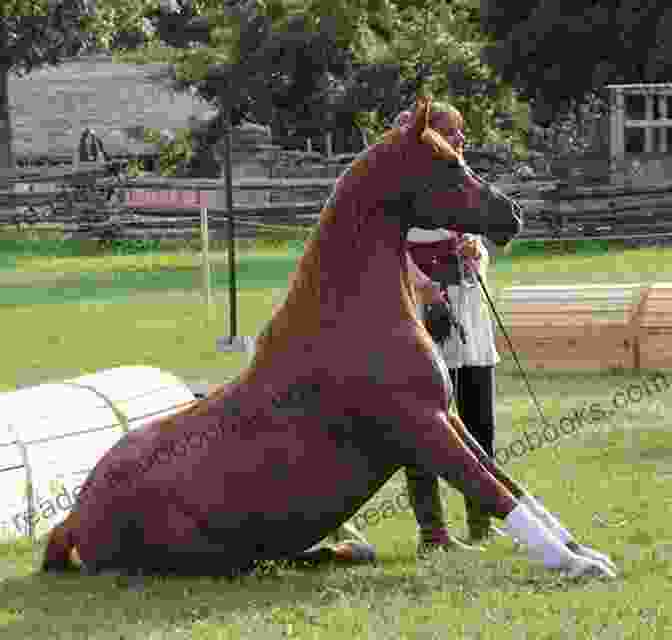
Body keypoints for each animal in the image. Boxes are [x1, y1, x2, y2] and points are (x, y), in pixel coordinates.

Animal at [43, 99, 620, 580]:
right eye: (451, 164)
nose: (513, 214)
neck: (352, 313)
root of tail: (74, 516)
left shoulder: (447, 414)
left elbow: (511, 482)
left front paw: (584, 550)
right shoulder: (421, 424)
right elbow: (494, 491)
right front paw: (575, 564)